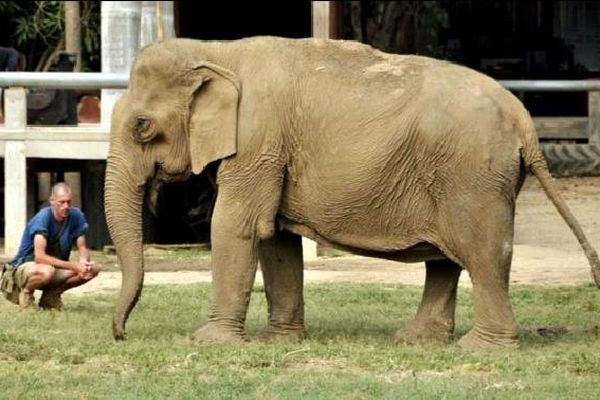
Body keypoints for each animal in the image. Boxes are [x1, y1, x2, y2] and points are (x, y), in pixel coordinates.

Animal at [104, 37, 600, 350]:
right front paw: (278, 341)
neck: (217, 51)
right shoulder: (272, 152)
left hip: (471, 174)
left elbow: (236, 224)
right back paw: (418, 341)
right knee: (448, 258)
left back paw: (481, 349)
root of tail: (522, 117)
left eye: (142, 126)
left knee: (481, 252)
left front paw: (211, 342)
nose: (121, 334)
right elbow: (276, 238)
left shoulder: (258, 140)